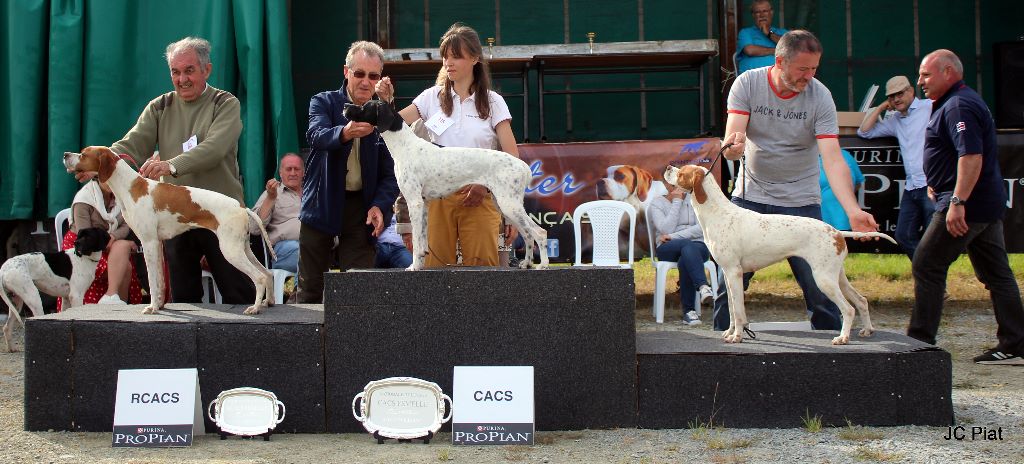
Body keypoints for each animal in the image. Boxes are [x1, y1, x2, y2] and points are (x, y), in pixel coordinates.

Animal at [64, 146, 276, 315]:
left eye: (83, 154)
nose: (65, 154)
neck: (130, 188)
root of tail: (241, 207)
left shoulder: (148, 243)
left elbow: (152, 280)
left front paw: (151, 307)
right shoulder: (157, 245)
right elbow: (159, 281)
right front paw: (158, 305)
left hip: (230, 250)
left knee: (258, 277)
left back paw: (255, 308)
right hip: (243, 248)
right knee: (267, 273)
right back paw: (269, 302)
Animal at [344, 99, 548, 270]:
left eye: (365, 106)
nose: (346, 106)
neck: (405, 146)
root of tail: (523, 166)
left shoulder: (414, 203)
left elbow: (416, 242)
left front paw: (413, 267)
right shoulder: (423, 204)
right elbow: (422, 241)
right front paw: (421, 262)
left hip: (509, 205)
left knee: (539, 232)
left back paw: (543, 264)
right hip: (506, 206)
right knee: (528, 234)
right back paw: (526, 263)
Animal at [663, 163, 897, 344]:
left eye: (682, 172)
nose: (667, 167)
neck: (717, 212)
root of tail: (837, 232)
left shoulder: (734, 273)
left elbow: (737, 311)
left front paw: (737, 336)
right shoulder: (729, 277)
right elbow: (731, 309)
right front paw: (730, 333)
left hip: (823, 279)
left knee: (848, 309)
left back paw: (842, 338)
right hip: (837, 277)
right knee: (861, 301)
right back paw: (867, 330)